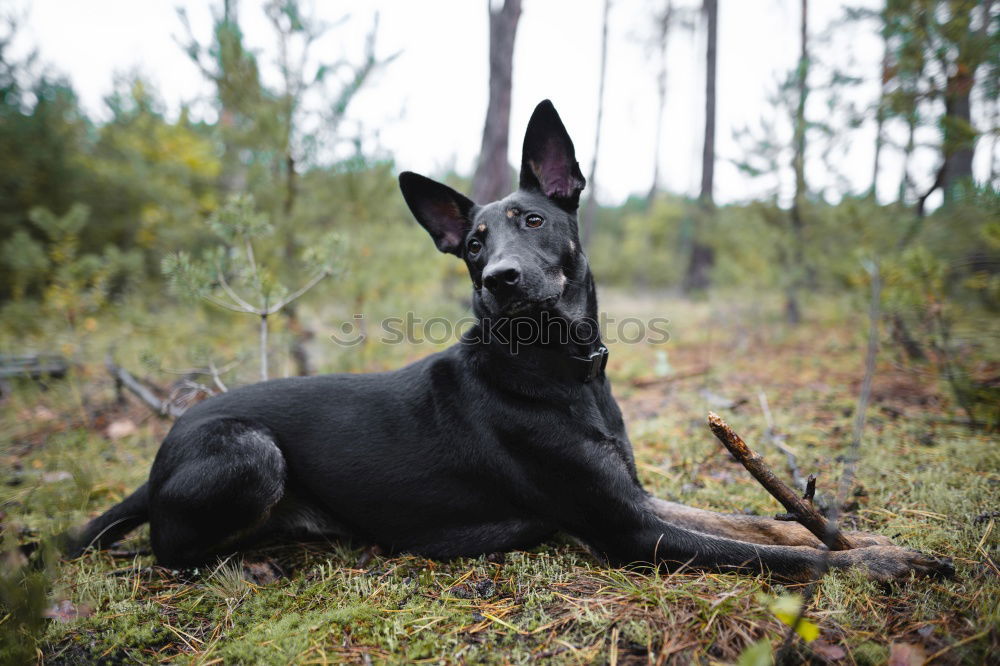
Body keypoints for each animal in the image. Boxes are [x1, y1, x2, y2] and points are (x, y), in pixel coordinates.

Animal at [72, 100, 952, 580]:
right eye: (471, 244)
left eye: (532, 219)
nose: (498, 277)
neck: (557, 370)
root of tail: (159, 458)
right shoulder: (627, 529)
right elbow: (780, 555)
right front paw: (868, 564)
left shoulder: (635, 496)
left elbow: (760, 522)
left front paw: (875, 538)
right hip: (251, 452)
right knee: (168, 548)